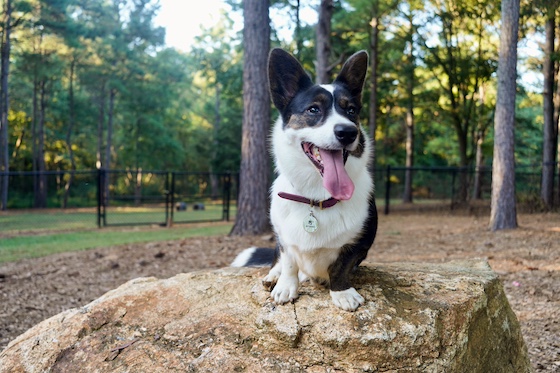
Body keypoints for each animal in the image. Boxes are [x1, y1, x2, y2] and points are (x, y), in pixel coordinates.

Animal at [230, 49, 378, 310]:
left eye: (351, 111)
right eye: (313, 110)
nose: (348, 132)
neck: (316, 196)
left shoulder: (359, 244)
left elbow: (341, 266)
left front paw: (342, 292)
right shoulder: (284, 239)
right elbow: (289, 260)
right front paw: (285, 287)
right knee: (277, 261)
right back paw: (273, 277)